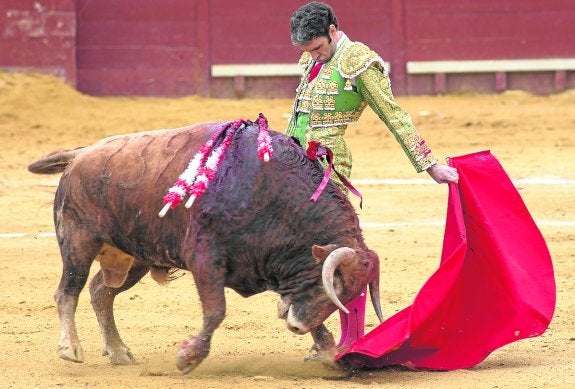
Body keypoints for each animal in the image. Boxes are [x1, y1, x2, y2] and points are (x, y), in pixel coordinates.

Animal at [29, 119, 384, 372]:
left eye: (349, 295)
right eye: (336, 284)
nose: (296, 327)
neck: (268, 192)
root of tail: (80, 155)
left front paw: (326, 351)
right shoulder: (203, 258)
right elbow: (216, 310)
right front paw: (188, 357)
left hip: (134, 257)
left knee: (101, 293)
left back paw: (118, 351)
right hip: (79, 241)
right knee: (68, 291)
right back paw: (71, 349)